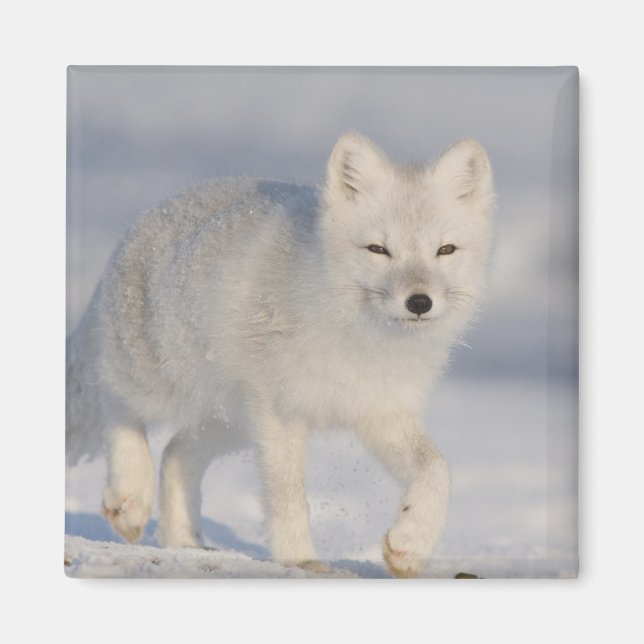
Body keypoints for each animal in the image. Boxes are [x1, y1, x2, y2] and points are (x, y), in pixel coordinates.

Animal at [66, 132, 494, 577]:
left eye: (445, 249)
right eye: (378, 249)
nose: (419, 302)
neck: (360, 337)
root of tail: (148, 217)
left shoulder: (378, 410)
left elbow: (437, 470)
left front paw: (410, 546)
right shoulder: (280, 411)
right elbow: (288, 496)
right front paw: (300, 560)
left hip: (232, 421)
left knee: (175, 454)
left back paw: (183, 544)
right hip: (159, 380)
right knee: (115, 400)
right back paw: (130, 496)